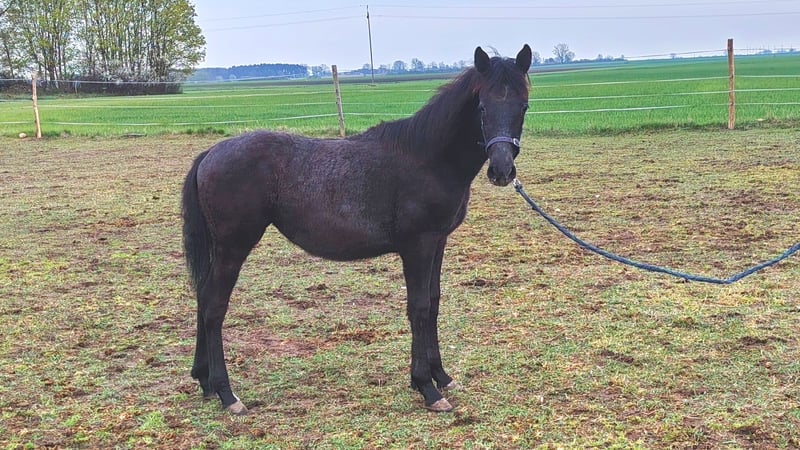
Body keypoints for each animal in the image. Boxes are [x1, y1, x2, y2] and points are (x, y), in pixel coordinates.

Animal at [182, 44, 532, 415]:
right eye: (482, 106)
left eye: (523, 106)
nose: (502, 170)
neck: (427, 158)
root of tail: (211, 153)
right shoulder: (418, 246)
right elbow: (419, 307)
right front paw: (427, 387)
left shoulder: (438, 242)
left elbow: (434, 302)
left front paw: (441, 376)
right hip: (233, 247)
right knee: (214, 305)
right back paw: (227, 393)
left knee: (203, 297)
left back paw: (204, 380)